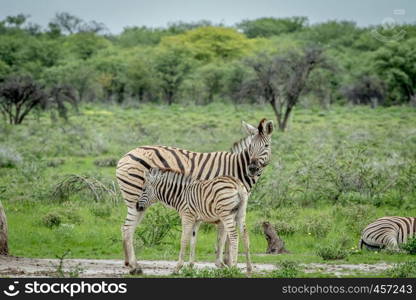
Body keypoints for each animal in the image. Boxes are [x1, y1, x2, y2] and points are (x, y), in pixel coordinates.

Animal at [116, 118, 272, 274]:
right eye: (251, 146)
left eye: (266, 145)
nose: (252, 168)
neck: (236, 167)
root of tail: (125, 156)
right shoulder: (219, 210)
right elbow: (223, 237)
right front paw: (226, 263)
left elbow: (214, 236)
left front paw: (225, 263)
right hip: (134, 199)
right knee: (127, 229)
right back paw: (134, 266)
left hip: (140, 204)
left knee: (126, 229)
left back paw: (129, 263)